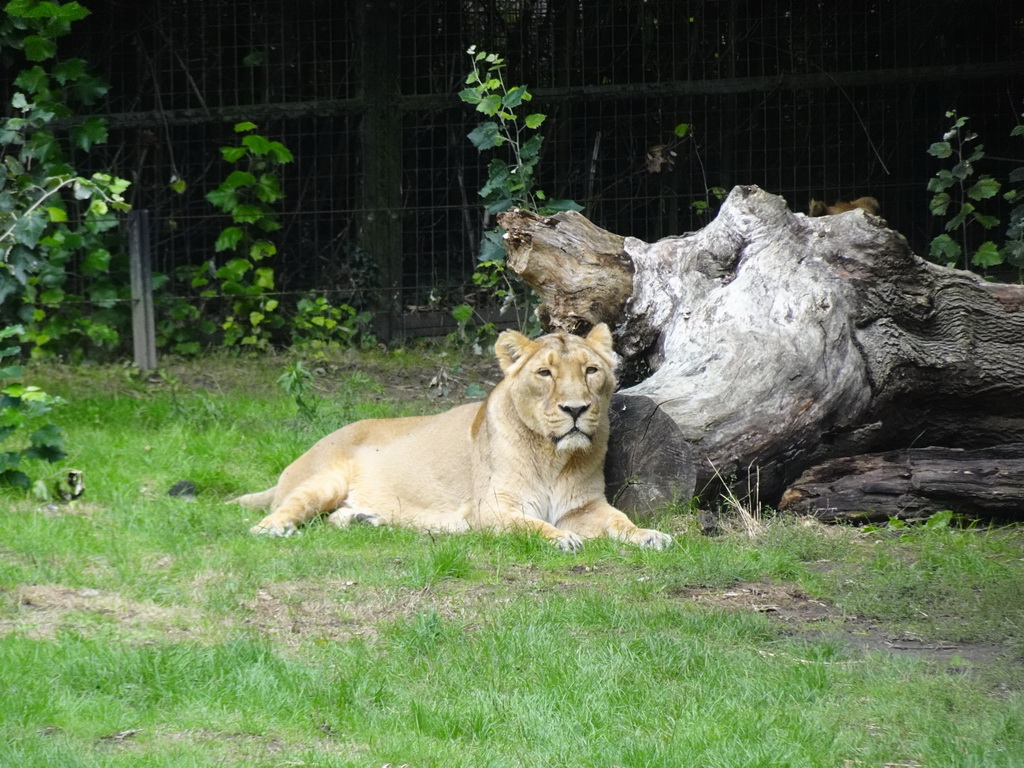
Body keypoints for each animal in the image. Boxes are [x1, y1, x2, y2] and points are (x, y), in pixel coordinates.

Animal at [235, 325, 675, 552]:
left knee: (333, 519)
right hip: (325, 480)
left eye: (590, 370)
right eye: (545, 373)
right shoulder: (492, 510)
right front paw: (561, 539)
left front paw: (650, 536)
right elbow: (531, 526)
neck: (554, 457)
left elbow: (621, 521)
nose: (575, 409)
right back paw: (275, 529)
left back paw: (366, 518)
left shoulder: (584, 506)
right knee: (280, 514)